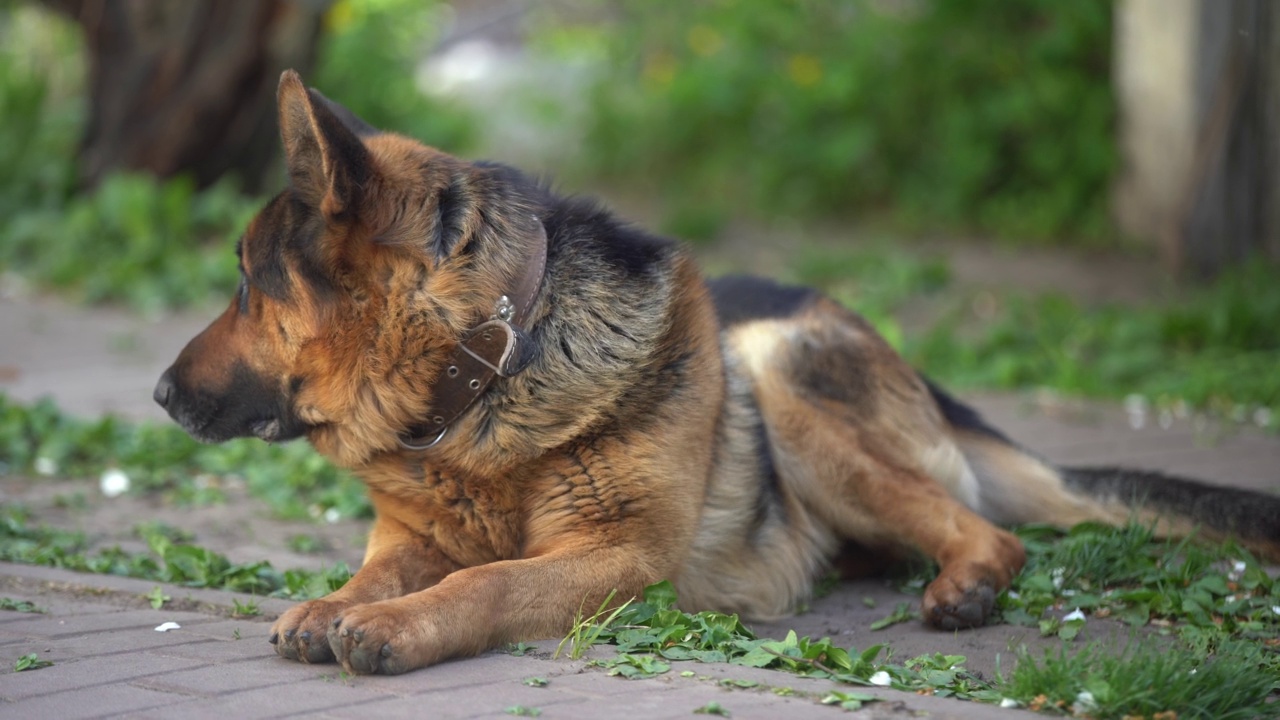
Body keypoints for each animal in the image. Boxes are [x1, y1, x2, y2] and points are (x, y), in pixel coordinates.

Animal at [154, 73, 1274, 671]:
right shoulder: (409, 533)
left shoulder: (612, 556)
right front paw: (339, 603)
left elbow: (485, 579)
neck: (486, 380)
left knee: (990, 533)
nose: (159, 394)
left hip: (778, 375)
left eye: (247, 285)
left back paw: (962, 587)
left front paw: (395, 625)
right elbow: (380, 568)